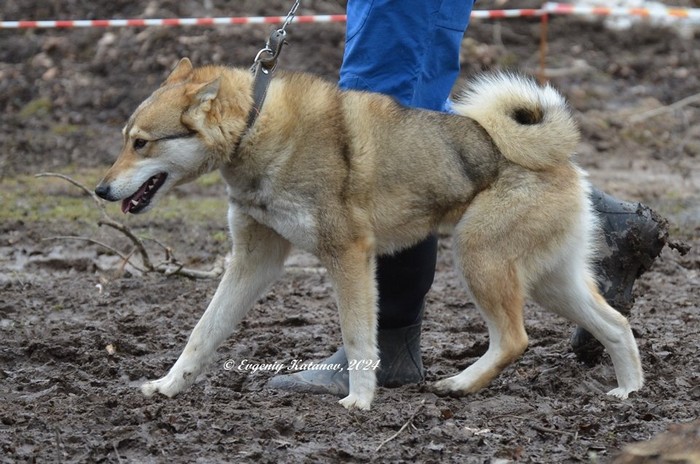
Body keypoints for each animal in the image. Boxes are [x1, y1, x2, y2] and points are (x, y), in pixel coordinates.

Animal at [95, 58, 643, 410]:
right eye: (124, 140)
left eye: (141, 143)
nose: (101, 189)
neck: (256, 126)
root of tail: (559, 157)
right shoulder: (254, 261)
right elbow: (202, 333)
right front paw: (168, 387)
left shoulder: (349, 256)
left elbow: (359, 338)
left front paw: (359, 400)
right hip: (550, 281)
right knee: (617, 324)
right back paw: (630, 392)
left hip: (479, 261)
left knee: (514, 339)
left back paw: (461, 385)